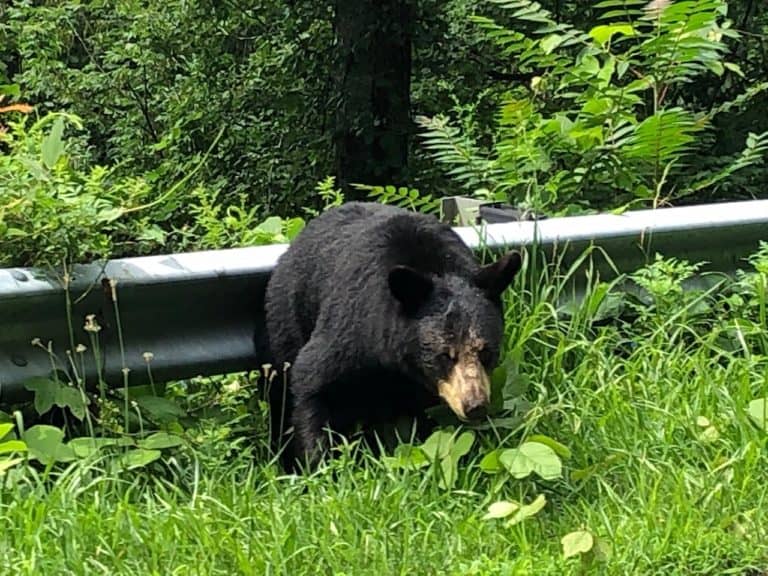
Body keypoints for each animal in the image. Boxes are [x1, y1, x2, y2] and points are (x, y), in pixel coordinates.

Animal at [262, 200, 520, 470]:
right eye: (444, 355)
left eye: (486, 351)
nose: (474, 406)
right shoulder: (350, 328)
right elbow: (311, 383)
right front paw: (317, 464)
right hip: (288, 316)